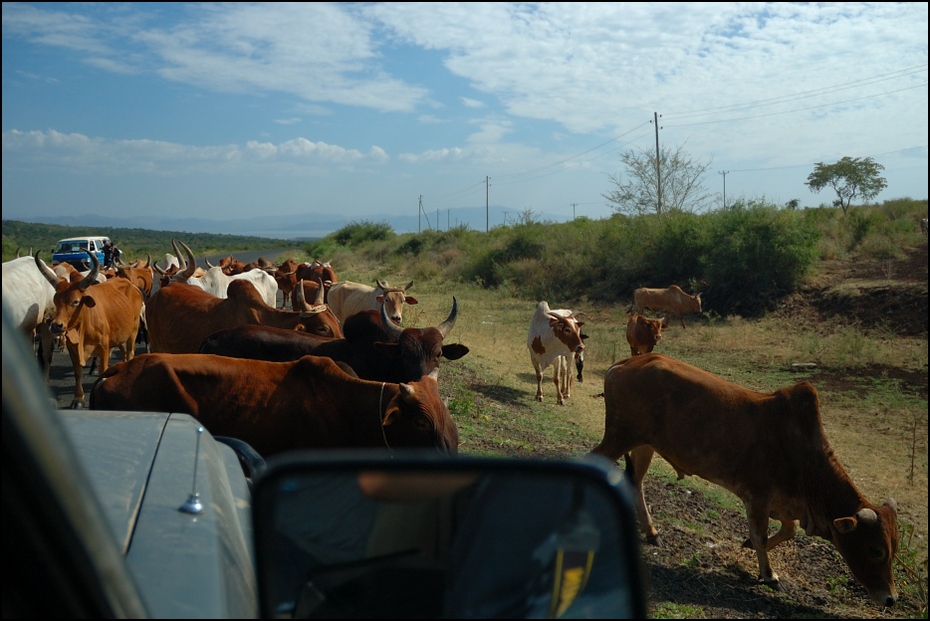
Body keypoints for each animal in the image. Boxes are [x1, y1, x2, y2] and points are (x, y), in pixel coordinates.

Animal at [33, 252, 143, 406]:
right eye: (55, 300)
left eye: (75, 301)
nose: (56, 325)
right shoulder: (73, 348)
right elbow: (78, 372)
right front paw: (78, 399)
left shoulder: (104, 347)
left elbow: (103, 371)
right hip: (121, 335)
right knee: (124, 353)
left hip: (133, 331)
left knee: (130, 353)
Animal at [588, 352, 900, 608]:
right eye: (875, 549)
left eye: (893, 549)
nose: (891, 598)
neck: (805, 459)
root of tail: (623, 364)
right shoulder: (757, 496)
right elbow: (762, 534)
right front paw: (769, 574)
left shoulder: (784, 504)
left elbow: (787, 531)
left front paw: (748, 546)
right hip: (620, 436)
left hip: (644, 444)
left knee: (635, 481)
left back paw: (652, 532)